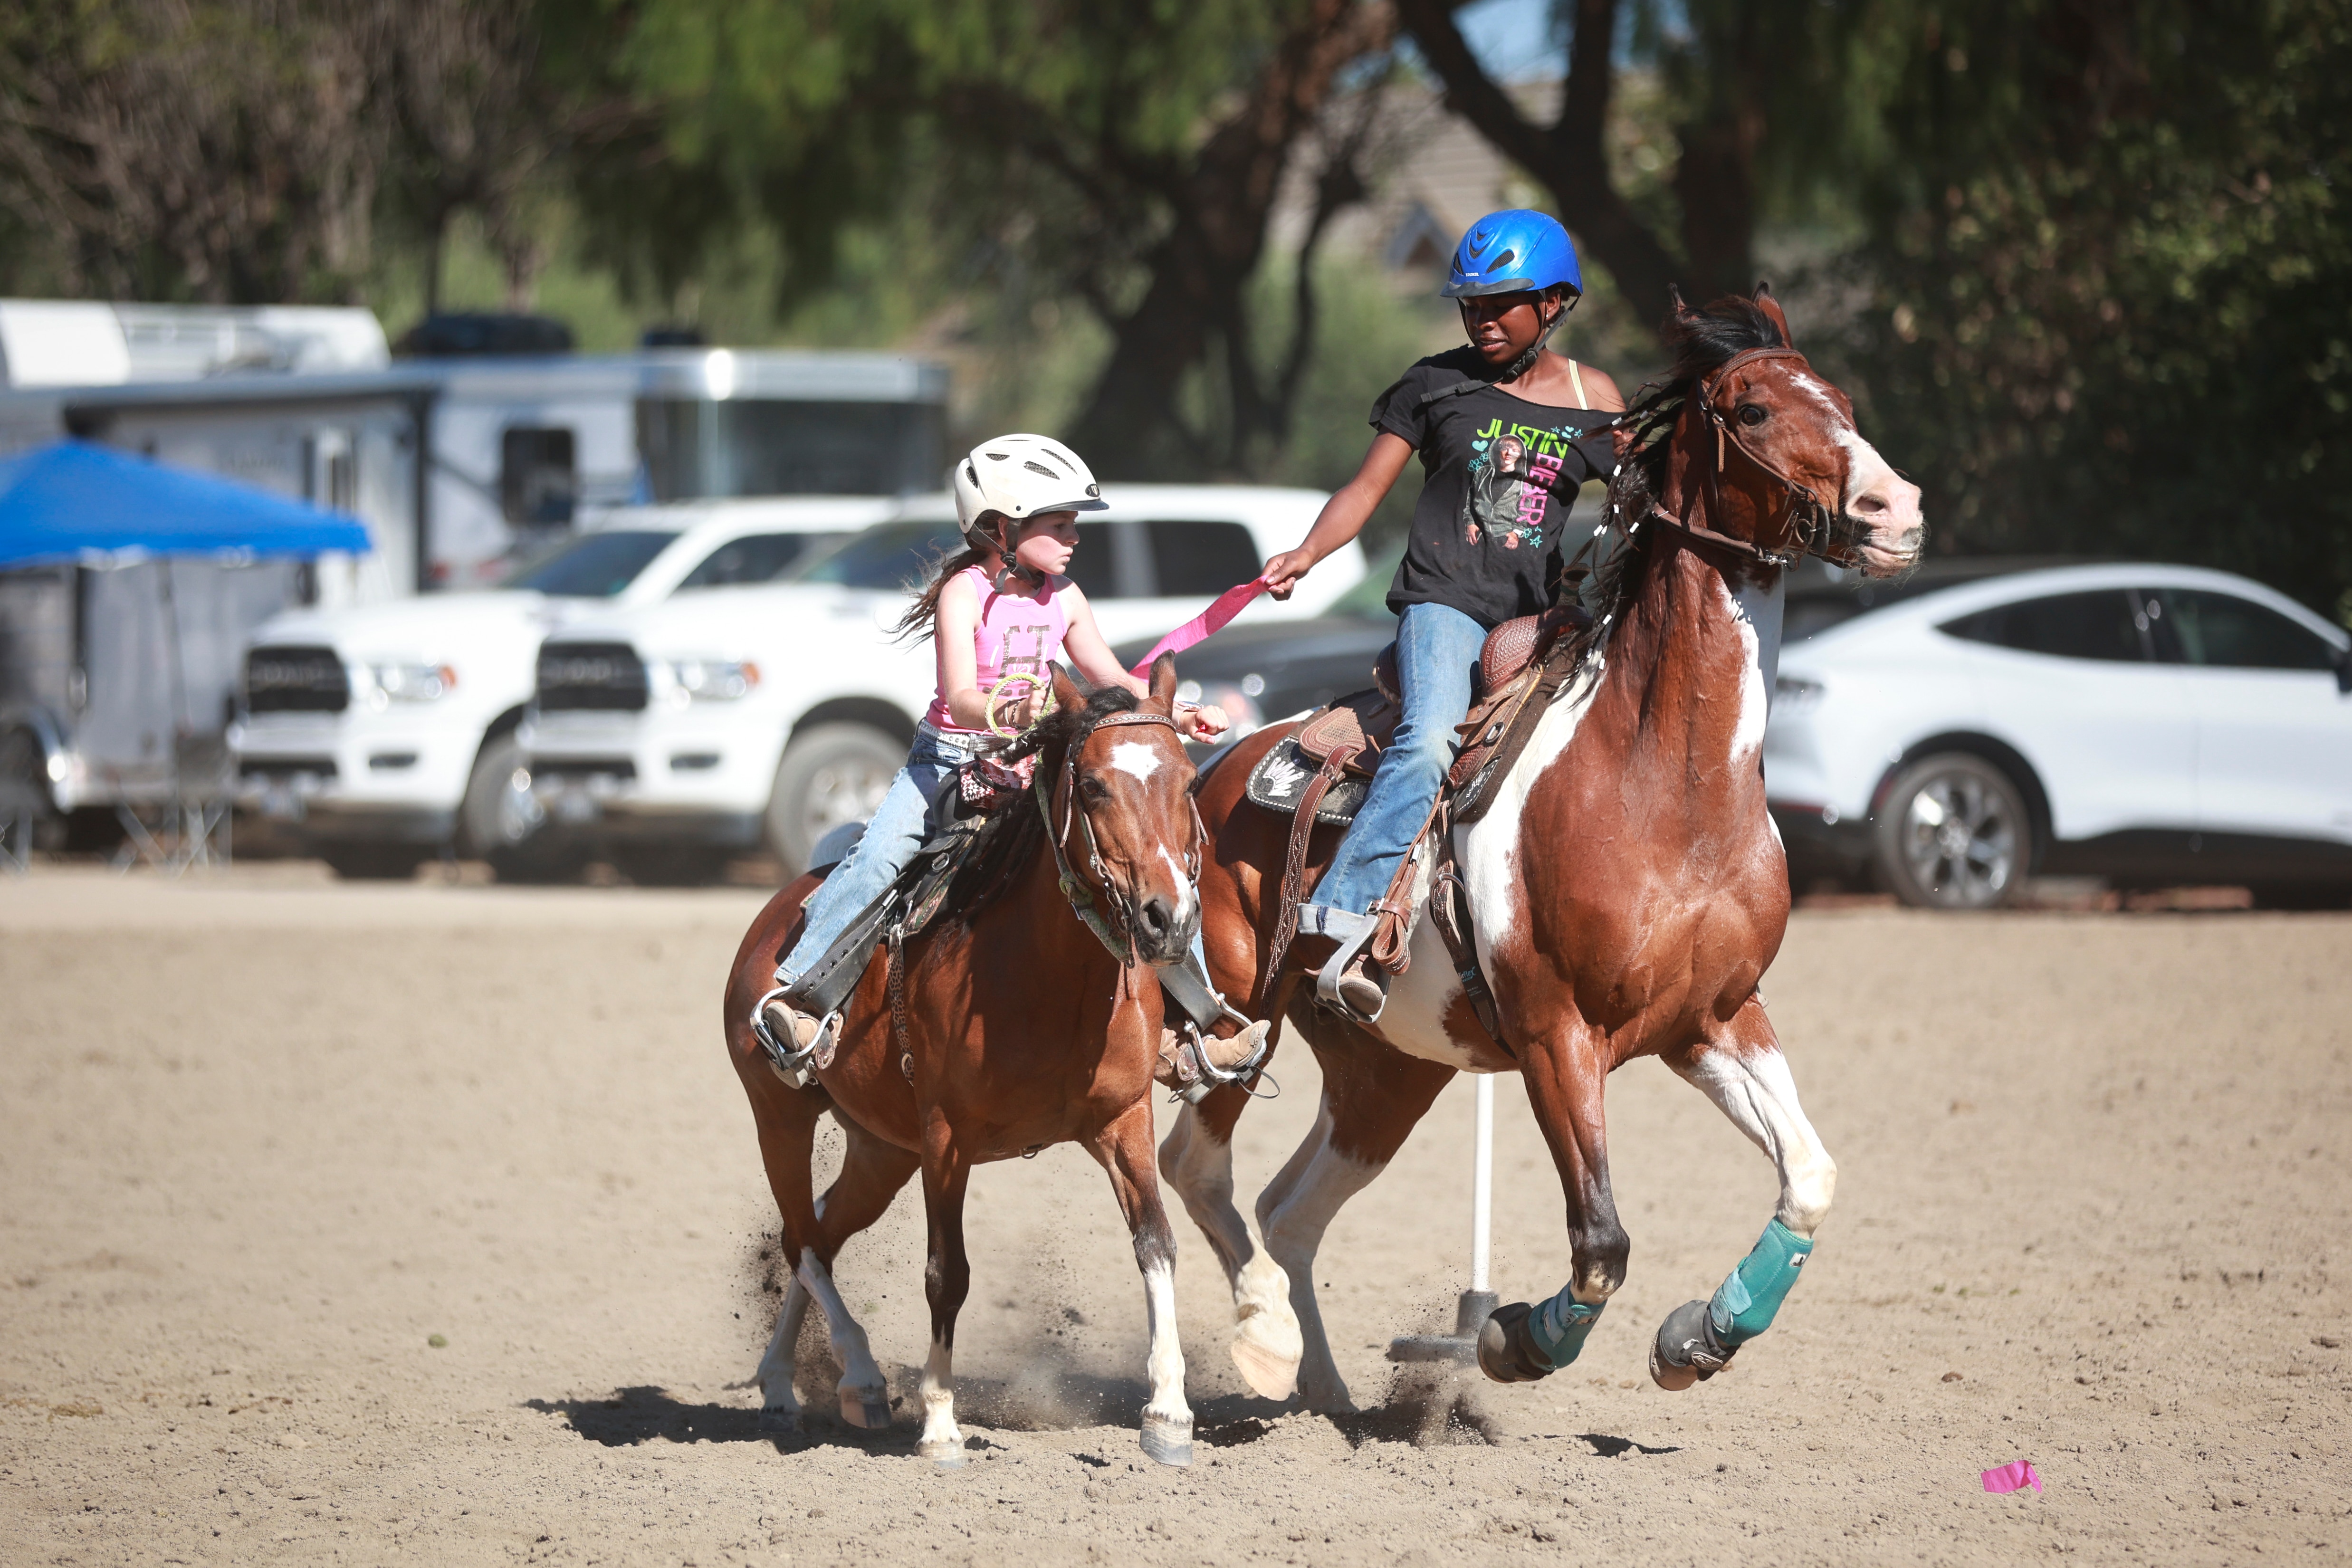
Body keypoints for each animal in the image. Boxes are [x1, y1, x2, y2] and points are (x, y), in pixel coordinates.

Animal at [721, 656, 1290, 1468]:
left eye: (1186, 781)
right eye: (1093, 786)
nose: (1169, 920)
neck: (1047, 976)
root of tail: (776, 914)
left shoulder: (1124, 1122)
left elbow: (1156, 1247)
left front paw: (1169, 1416)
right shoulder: (945, 1139)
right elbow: (946, 1275)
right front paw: (939, 1424)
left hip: (880, 1149)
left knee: (821, 1234)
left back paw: (790, 1383)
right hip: (781, 1116)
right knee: (801, 1239)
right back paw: (857, 1375)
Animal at [1159, 285, 1926, 1410]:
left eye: (1845, 401)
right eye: (1750, 409)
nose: (1895, 511)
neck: (1668, 789)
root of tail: (1217, 766)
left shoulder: (1715, 1020)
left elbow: (1811, 1177)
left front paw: (1700, 1337)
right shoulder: (1556, 1036)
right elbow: (1600, 1243)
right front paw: (1513, 1339)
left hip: (1389, 1073)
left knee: (1287, 1209)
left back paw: (1325, 1390)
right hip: (1237, 1016)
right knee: (1196, 1167)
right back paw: (1265, 1346)